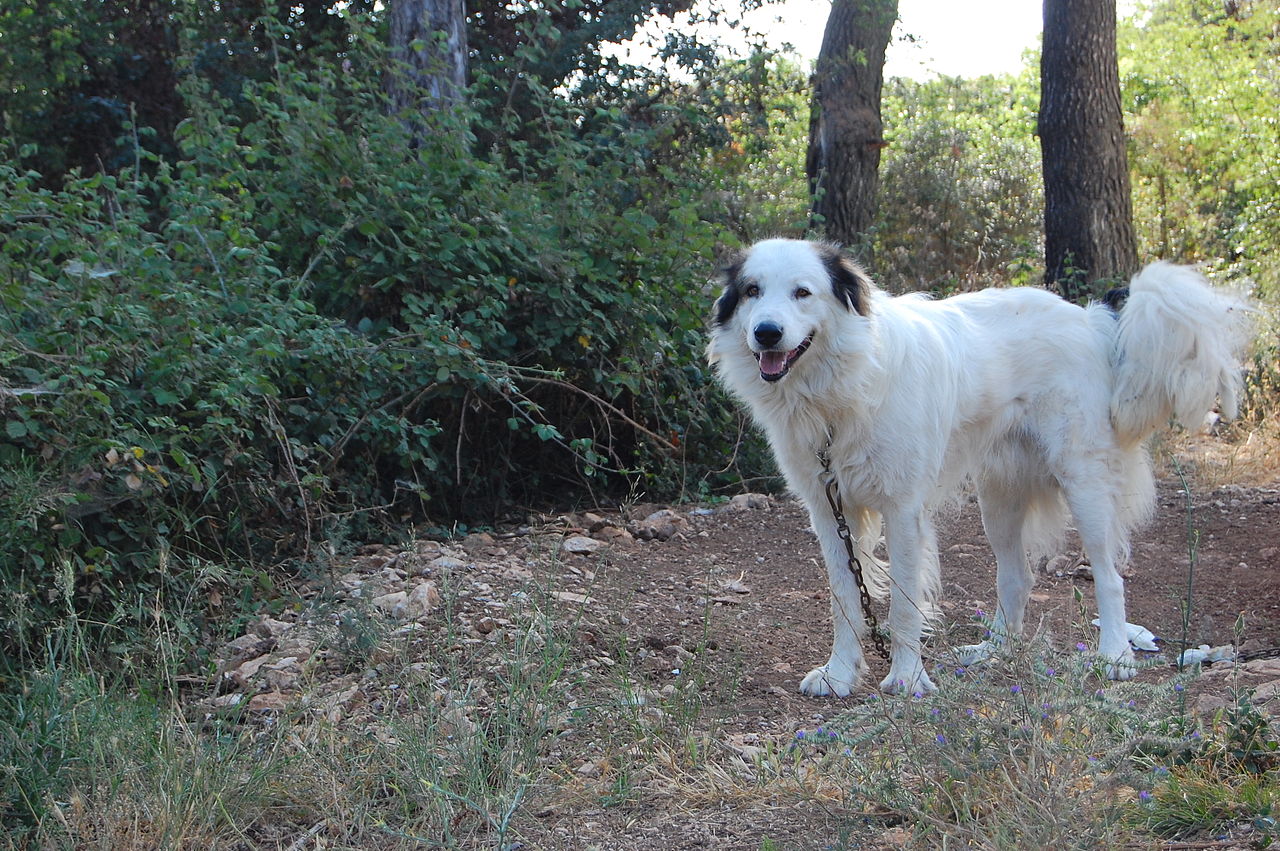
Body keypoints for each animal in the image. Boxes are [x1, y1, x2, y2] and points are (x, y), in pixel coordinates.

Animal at [706, 235, 1244, 696]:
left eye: (803, 292)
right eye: (753, 291)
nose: (766, 333)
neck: (840, 389)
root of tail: (1090, 321)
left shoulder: (902, 511)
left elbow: (902, 607)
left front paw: (907, 679)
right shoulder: (829, 514)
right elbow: (845, 601)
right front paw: (840, 675)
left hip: (1084, 484)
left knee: (1108, 576)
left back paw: (1113, 656)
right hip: (998, 500)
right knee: (1017, 577)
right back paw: (994, 650)